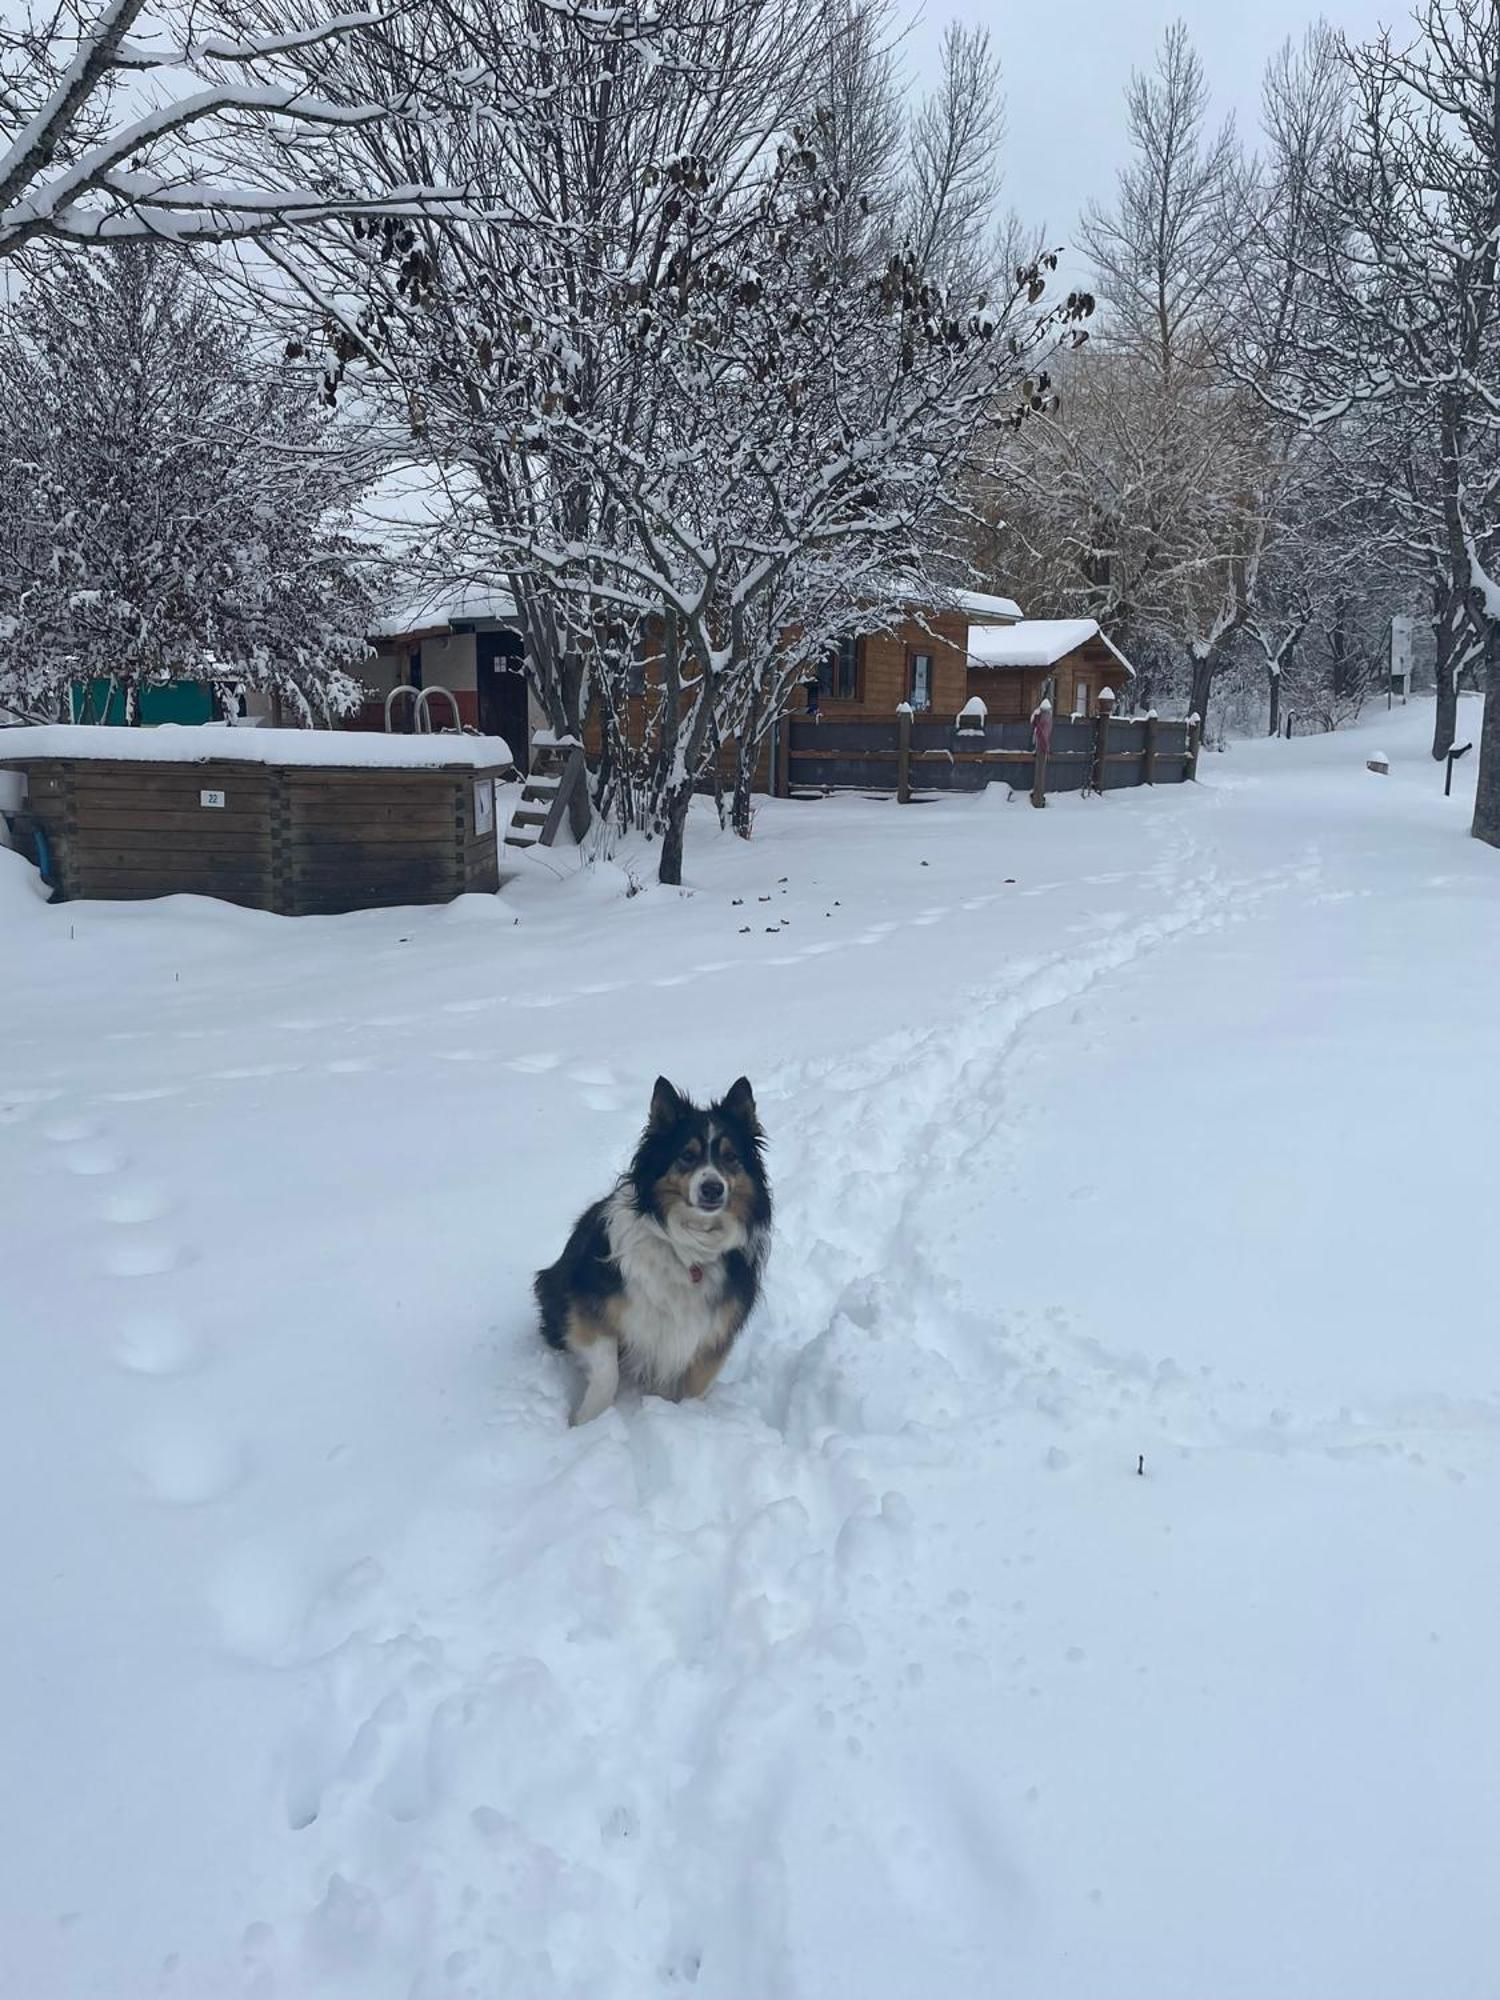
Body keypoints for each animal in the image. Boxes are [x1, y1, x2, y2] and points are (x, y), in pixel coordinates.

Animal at [536, 1080, 776, 1424]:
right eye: (687, 1155)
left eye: (731, 1157)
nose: (712, 1188)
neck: (689, 1248)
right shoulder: (587, 1302)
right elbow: (607, 1370)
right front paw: (585, 1422)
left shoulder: (713, 1331)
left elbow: (696, 1385)